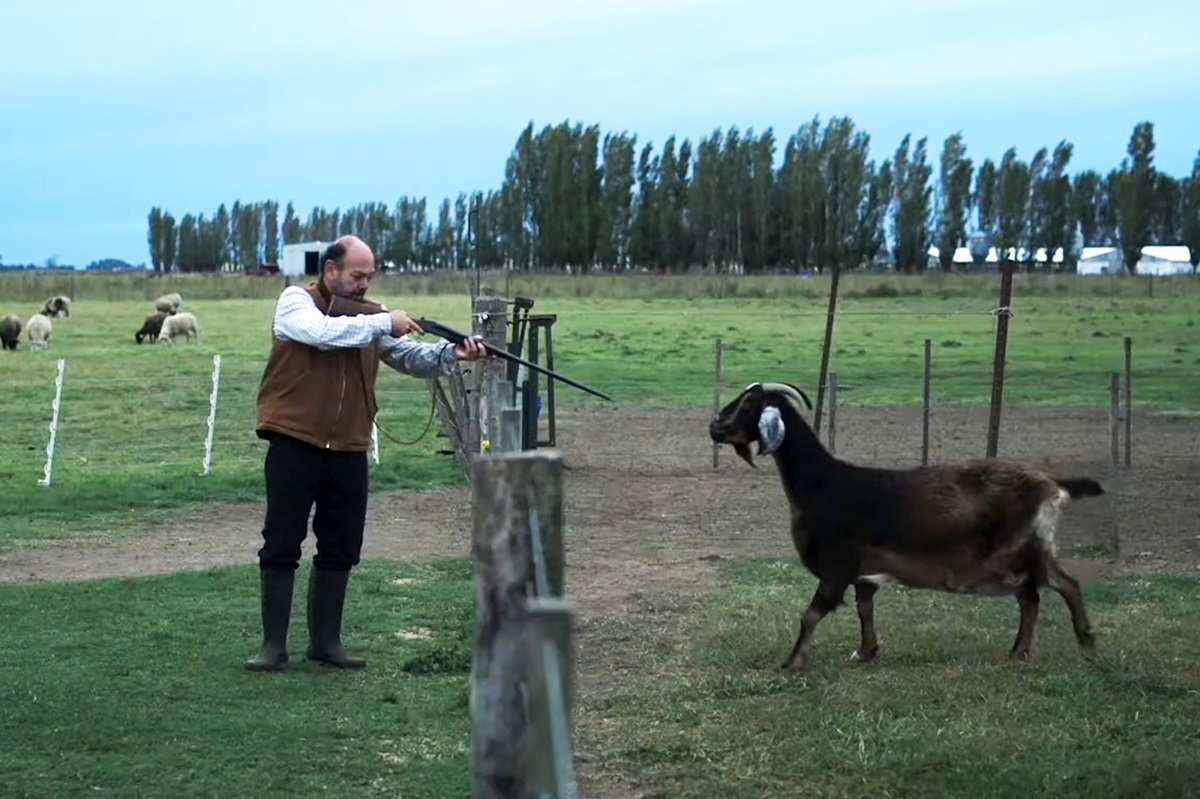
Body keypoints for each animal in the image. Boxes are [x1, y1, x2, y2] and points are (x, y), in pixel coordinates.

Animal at [705, 383, 1099, 667]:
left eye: (748, 405)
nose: (714, 426)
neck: (822, 484)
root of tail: (1053, 484)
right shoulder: (864, 572)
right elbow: (864, 608)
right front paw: (865, 652)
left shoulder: (837, 565)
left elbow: (811, 614)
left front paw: (791, 663)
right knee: (1031, 597)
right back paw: (1019, 652)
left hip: (1022, 550)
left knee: (1064, 585)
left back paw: (1086, 644)